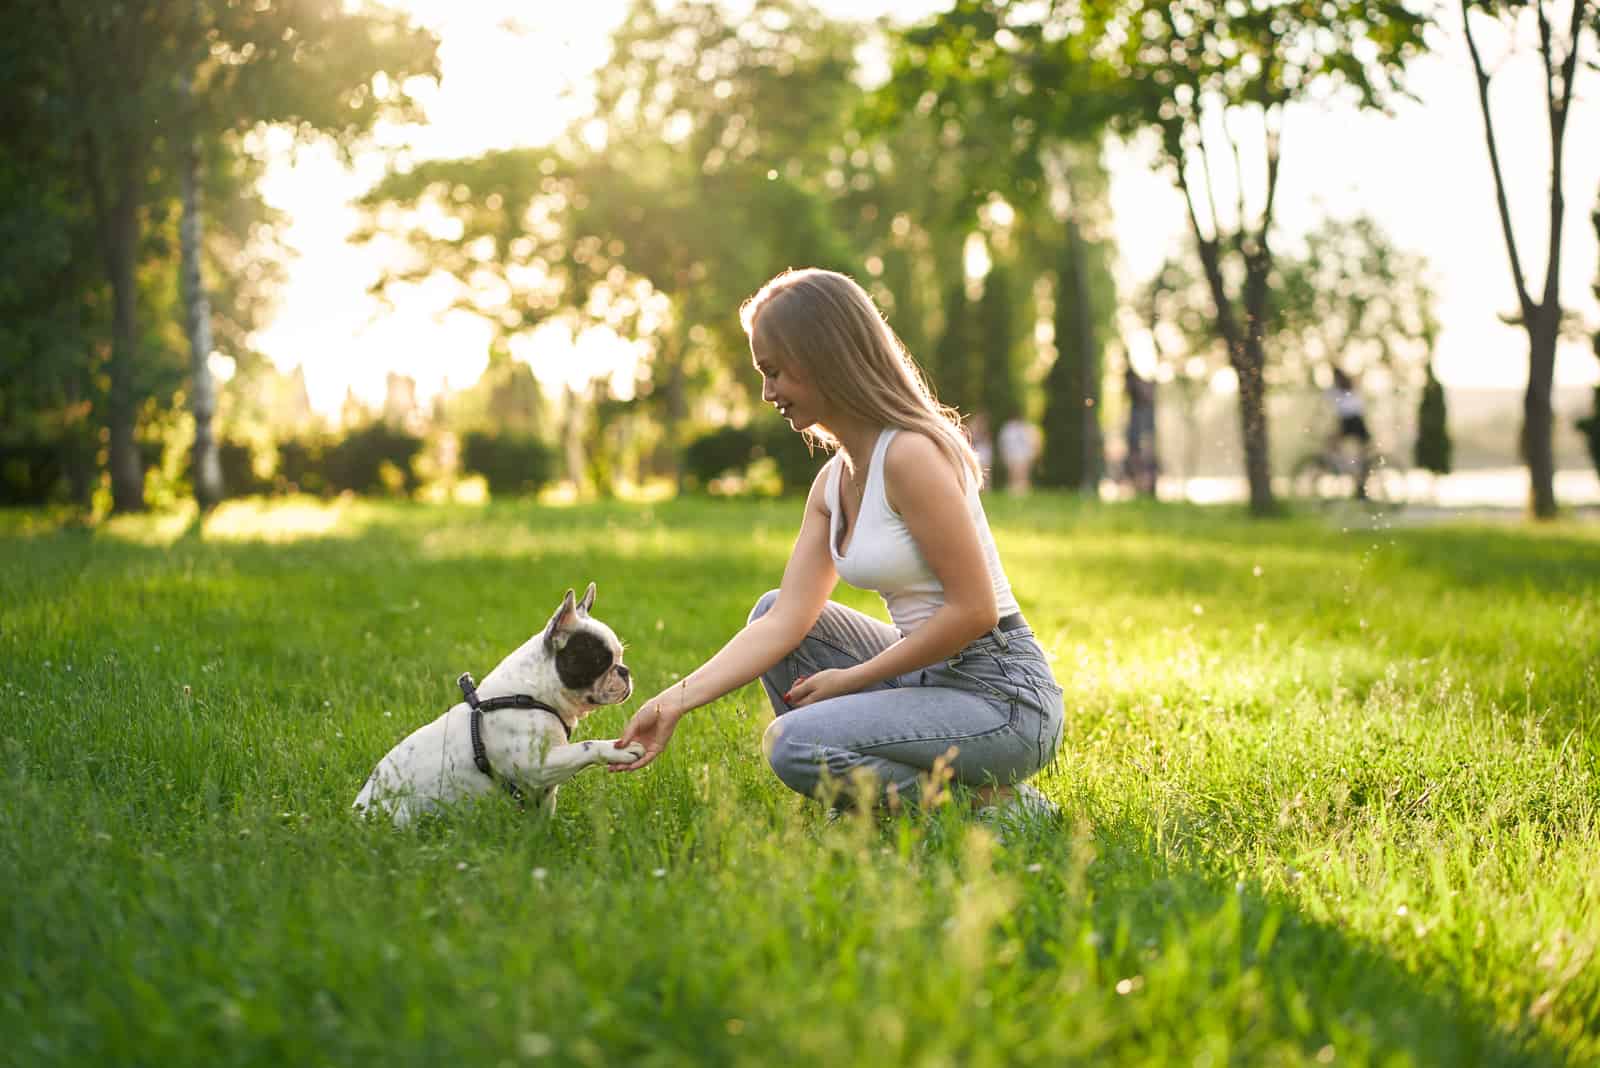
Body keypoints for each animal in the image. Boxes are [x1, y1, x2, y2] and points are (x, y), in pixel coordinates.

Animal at [353, 585, 640, 824]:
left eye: (620, 657)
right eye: (601, 661)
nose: (624, 671)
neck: (532, 696)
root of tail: (356, 815)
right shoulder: (537, 766)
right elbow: (586, 747)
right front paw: (619, 749)